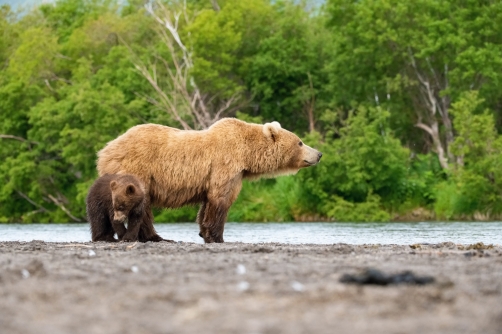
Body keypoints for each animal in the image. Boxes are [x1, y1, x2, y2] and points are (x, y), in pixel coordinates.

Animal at [97, 117, 322, 243]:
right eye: (300, 142)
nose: (319, 154)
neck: (247, 155)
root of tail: (105, 151)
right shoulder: (225, 164)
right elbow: (221, 199)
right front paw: (217, 236)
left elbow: (207, 204)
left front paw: (204, 232)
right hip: (137, 169)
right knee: (141, 204)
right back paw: (156, 236)